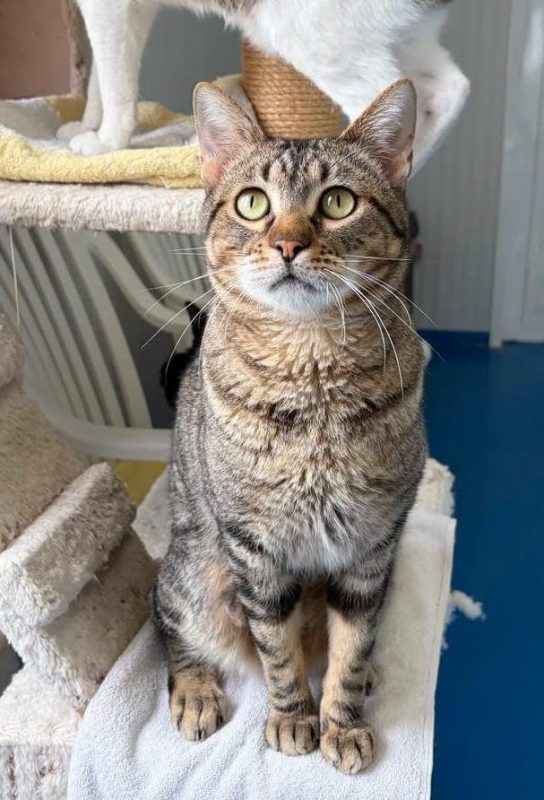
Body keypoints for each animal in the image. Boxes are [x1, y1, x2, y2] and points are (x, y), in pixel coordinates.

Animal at [59, 0, 469, 173]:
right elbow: (99, 75)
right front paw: (86, 124)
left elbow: (115, 78)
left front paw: (107, 142)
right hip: (406, 36)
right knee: (450, 88)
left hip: (315, 37)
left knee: (387, 96)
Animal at [152, 77, 427, 774]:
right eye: (254, 203)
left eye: (337, 202)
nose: (287, 244)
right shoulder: (254, 551)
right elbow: (277, 652)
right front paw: (293, 718)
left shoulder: (373, 547)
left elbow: (352, 646)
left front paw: (343, 722)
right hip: (197, 574)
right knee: (168, 621)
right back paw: (196, 691)